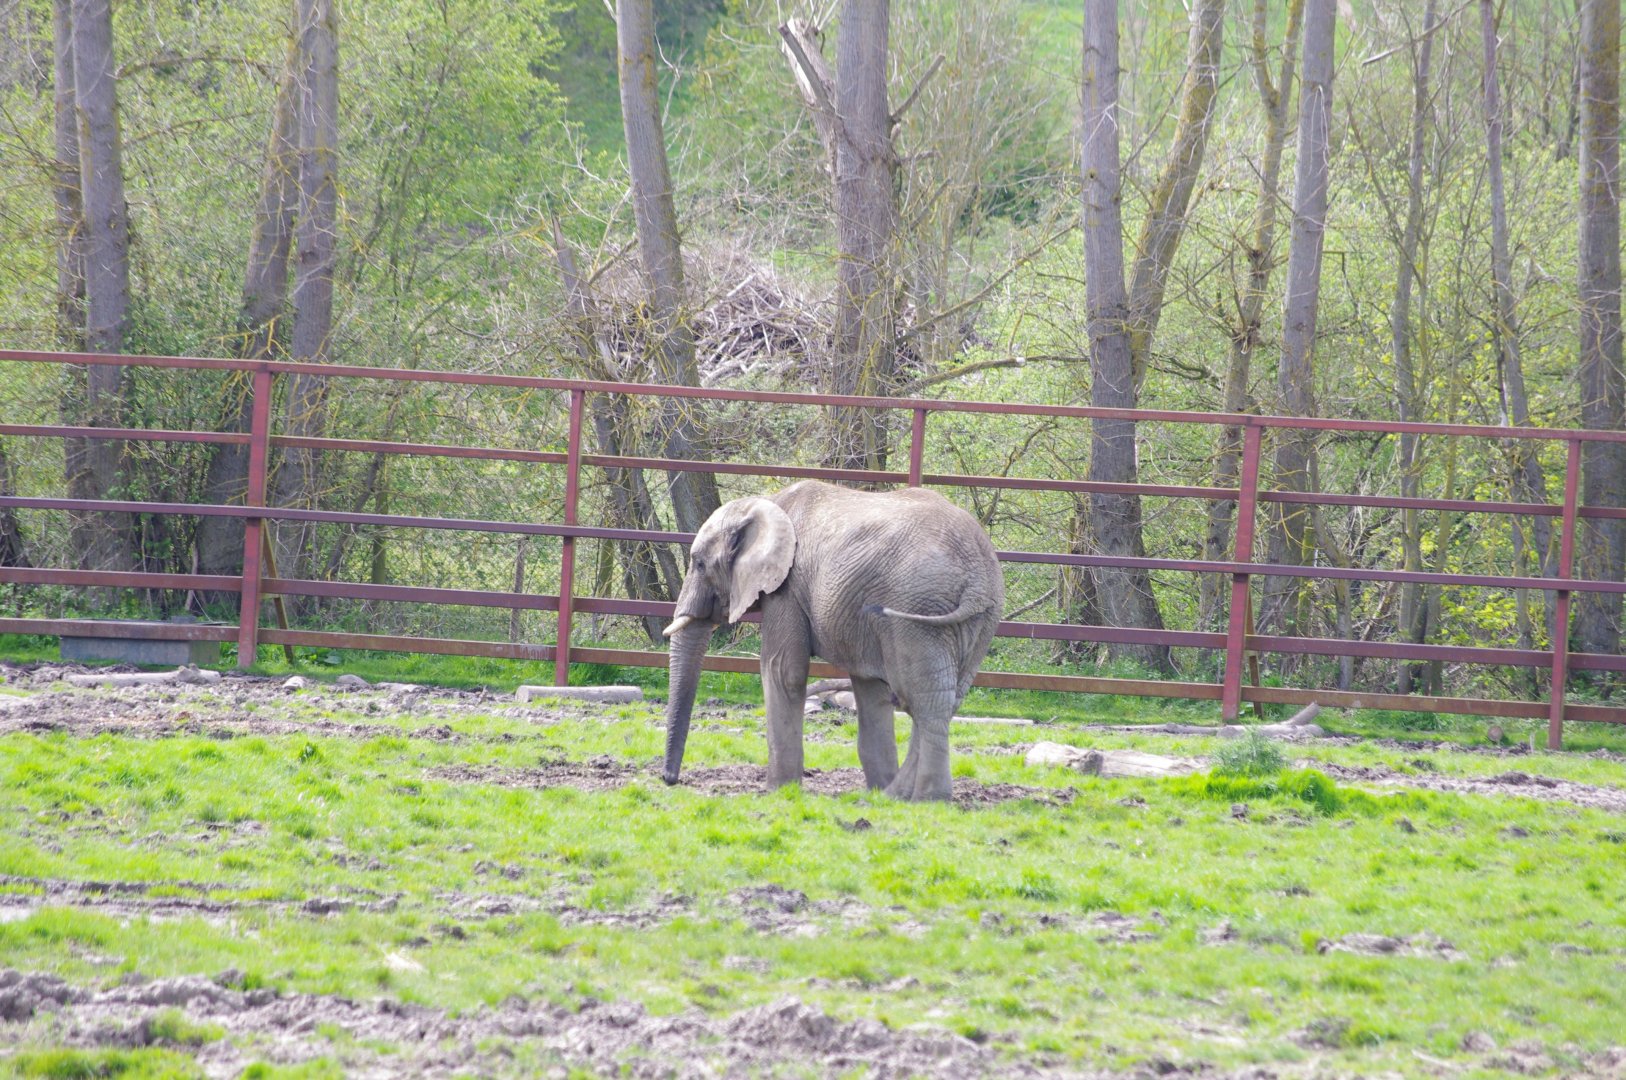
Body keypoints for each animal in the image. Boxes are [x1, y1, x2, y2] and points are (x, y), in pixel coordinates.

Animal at [659, 480, 1004, 801]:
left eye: (699, 563)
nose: (669, 779)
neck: (766, 503)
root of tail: (978, 575)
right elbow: (869, 686)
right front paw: (875, 790)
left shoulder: (787, 586)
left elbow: (782, 671)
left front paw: (778, 791)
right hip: (980, 620)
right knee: (943, 697)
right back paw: (895, 795)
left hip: (917, 608)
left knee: (922, 697)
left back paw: (925, 798)